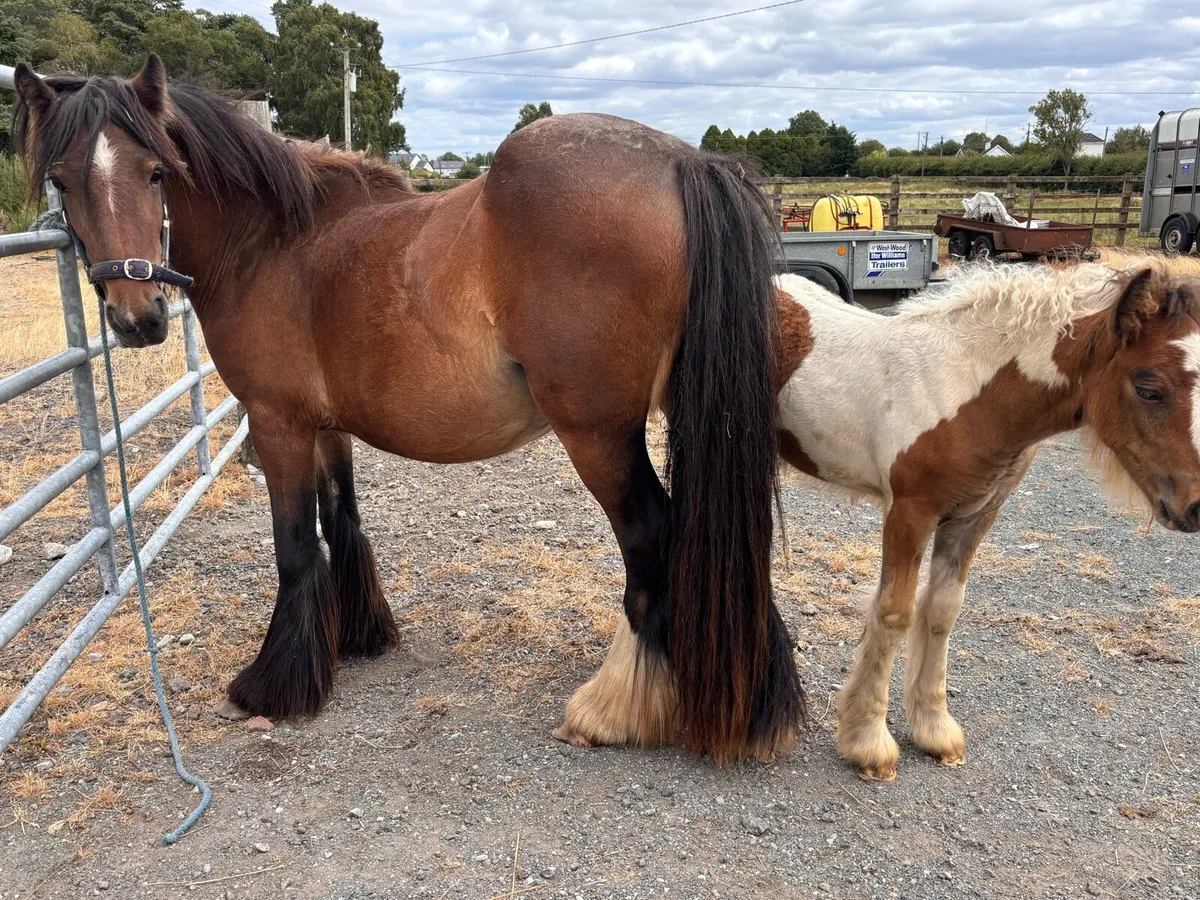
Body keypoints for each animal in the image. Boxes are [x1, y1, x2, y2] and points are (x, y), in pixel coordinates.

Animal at [11, 55, 804, 764]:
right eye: (62, 180)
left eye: (156, 172)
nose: (136, 317)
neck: (272, 240)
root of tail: (678, 160)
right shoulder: (326, 426)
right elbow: (342, 521)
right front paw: (357, 637)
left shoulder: (276, 421)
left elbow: (295, 546)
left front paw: (273, 687)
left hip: (597, 435)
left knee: (652, 538)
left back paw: (613, 710)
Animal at [772, 263, 1200, 780]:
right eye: (1148, 388)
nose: (1196, 506)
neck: (968, 391)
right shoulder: (910, 512)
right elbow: (895, 613)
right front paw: (869, 743)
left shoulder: (974, 516)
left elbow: (942, 611)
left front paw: (936, 731)